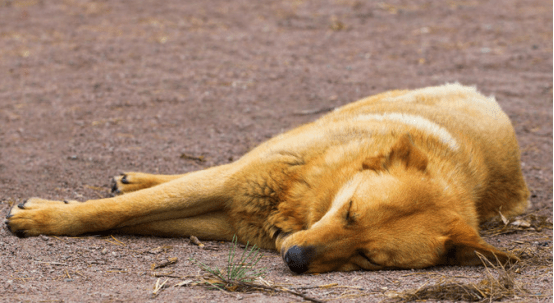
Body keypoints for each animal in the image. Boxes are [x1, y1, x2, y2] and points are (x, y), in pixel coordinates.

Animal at [6, 84, 528, 274]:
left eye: (369, 258)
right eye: (349, 212)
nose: (295, 261)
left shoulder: (232, 220)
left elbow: (126, 218)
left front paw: (49, 213)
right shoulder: (232, 185)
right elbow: (113, 211)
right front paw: (43, 217)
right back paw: (132, 180)